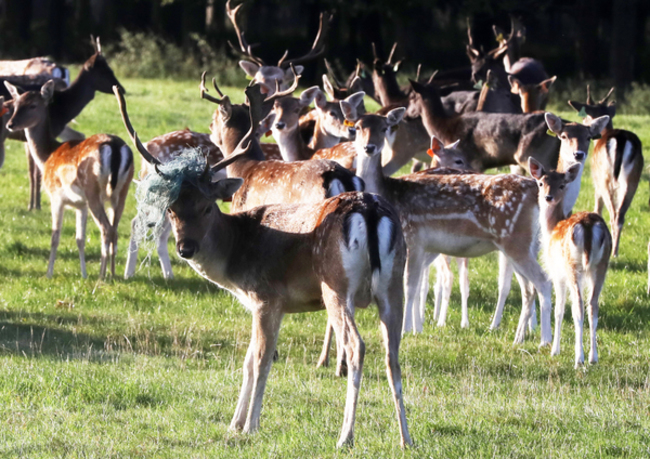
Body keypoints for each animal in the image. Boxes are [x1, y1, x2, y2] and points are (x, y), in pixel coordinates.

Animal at [0, 36, 123, 211]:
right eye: (105, 71)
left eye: (109, 68)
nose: (121, 88)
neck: (63, 107)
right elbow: (35, 172)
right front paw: (34, 206)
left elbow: (34, 171)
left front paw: (34, 205)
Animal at [6, 80, 133, 278]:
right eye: (15, 104)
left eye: (33, 105)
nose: (11, 124)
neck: (47, 156)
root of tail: (115, 147)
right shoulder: (81, 204)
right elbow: (80, 238)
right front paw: (84, 274)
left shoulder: (56, 196)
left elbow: (55, 236)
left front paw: (49, 274)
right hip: (122, 191)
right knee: (115, 229)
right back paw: (112, 274)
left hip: (92, 189)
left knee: (106, 229)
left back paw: (102, 276)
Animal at [115, 83, 410, 450]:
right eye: (171, 209)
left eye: (207, 206)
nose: (186, 248)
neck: (236, 257)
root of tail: (369, 210)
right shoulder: (270, 305)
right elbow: (248, 360)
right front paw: (235, 423)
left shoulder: (266, 297)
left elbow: (259, 360)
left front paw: (249, 426)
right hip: (394, 284)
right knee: (393, 354)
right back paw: (406, 438)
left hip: (336, 286)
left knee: (357, 346)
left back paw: (345, 437)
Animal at [528, 158, 612, 370]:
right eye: (541, 183)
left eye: (562, 185)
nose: (548, 197)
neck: (551, 228)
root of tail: (589, 226)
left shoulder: (557, 273)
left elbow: (559, 309)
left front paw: (554, 350)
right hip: (601, 265)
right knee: (593, 305)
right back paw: (593, 357)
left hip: (572, 266)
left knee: (578, 307)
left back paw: (578, 358)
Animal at [564, 86, 640, 258]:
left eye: (586, 116)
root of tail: (621, 140)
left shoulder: (596, 180)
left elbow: (597, 206)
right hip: (633, 178)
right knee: (621, 215)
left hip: (605, 177)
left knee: (614, 214)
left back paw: (614, 253)